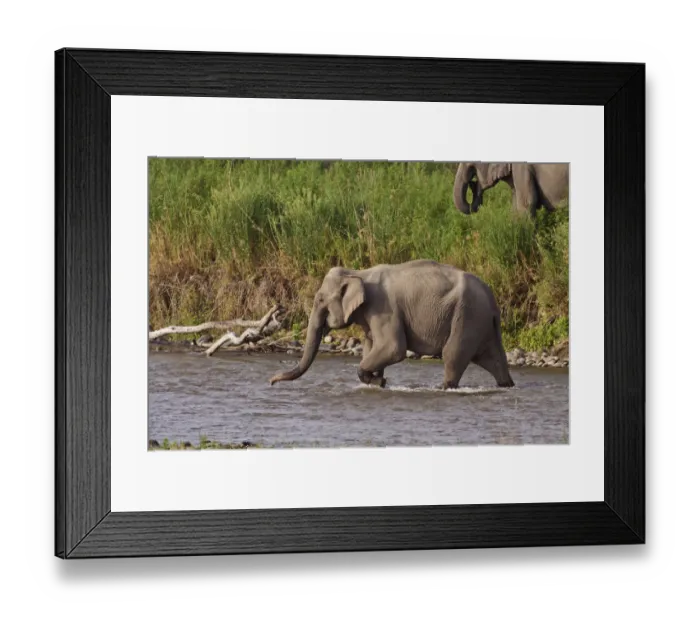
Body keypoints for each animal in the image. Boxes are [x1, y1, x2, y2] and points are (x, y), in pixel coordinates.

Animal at [269, 259, 515, 390]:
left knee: (453, 354)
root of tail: (492, 299)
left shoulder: (383, 308)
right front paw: (378, 381)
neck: (357, 272)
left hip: (467, 315)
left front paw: (377, 380)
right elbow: (372, 347)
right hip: (482, 322)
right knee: (494, 358)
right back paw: (507, 385)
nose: (271, 382)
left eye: (320, 300)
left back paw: (443, 388)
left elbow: (393, 348)